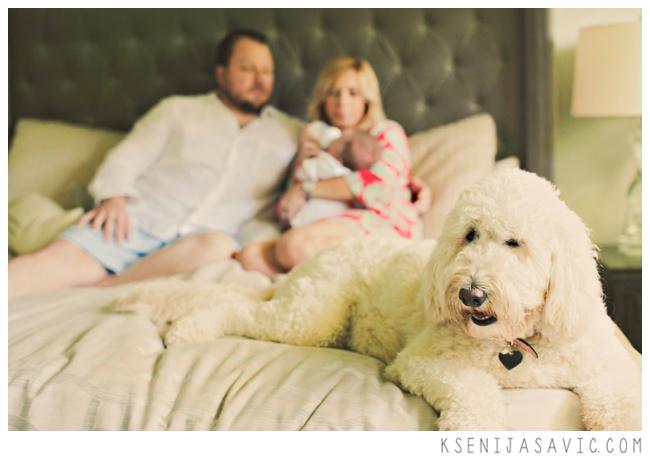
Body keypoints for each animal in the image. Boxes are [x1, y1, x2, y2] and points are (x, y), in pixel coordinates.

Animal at [115, 168, 642, 430]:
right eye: (469, 235)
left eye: (515, 243)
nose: (470, 294)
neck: (516, 342)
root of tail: (308, 263)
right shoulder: (424, 363)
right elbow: (474, 393)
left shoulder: (609, 372)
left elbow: (622, 404)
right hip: (306, 317)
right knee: (235, 309)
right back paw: (190, 329)